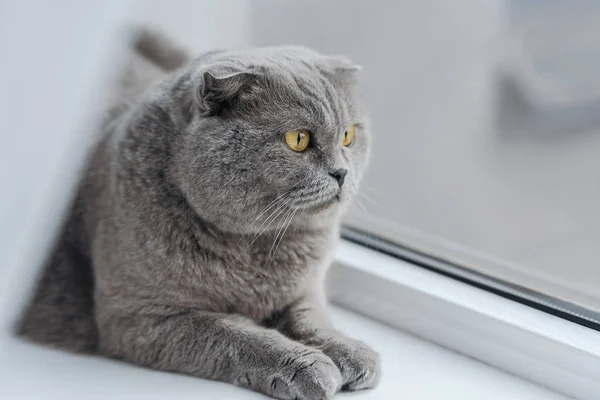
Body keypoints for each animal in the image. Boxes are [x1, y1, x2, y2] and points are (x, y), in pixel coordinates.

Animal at [19, 28, 380, 400]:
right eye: (298, 139)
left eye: (349, 135)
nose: (342, 172)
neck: (258, 246)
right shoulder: (142, 317)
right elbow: (234, 336)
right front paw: (308, 366)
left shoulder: (304, 290)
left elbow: (312, 317)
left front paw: (348, 349)